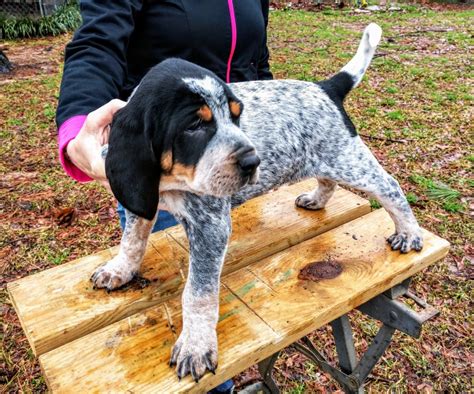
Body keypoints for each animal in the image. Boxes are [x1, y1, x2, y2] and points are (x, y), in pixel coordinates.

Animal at [90, 23, 422, 382]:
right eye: (194, 125)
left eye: (237, 116)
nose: (253, 161)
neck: (172, 182)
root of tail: (325, 88)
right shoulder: (141, 202)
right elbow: (132, 242)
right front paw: (119, 270)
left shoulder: (211, 227)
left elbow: (198, 293)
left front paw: (195, 344)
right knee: (327, 180)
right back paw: (316, 200)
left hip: (349, 160)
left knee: (389, 186)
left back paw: (408, 233)